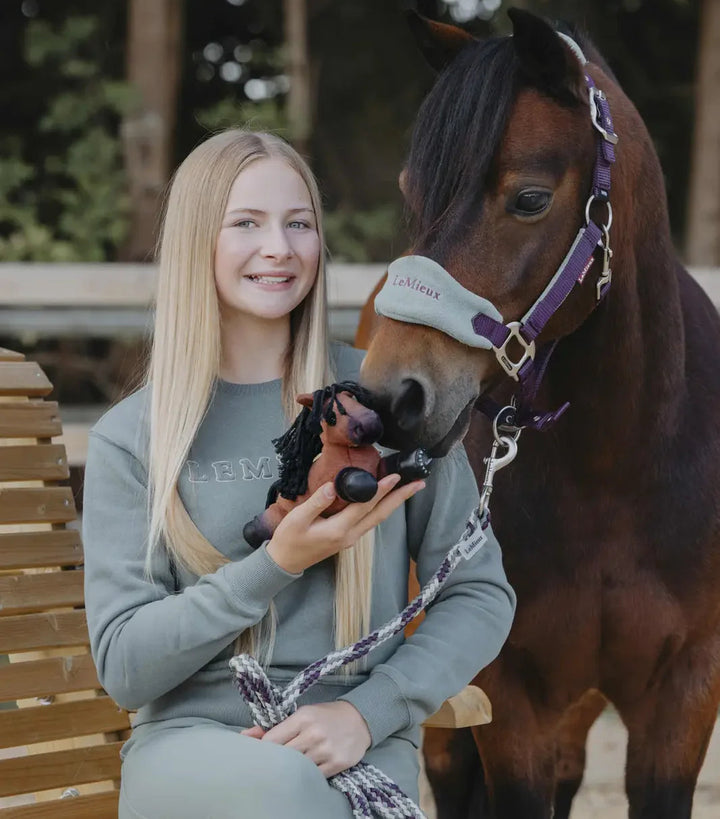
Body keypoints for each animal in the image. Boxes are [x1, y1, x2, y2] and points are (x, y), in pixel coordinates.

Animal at [356, 9, 720, 819]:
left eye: (528, 198)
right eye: (411, 191)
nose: (393, 396)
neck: (618, 470)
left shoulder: (684, 693)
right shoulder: (508, 696)